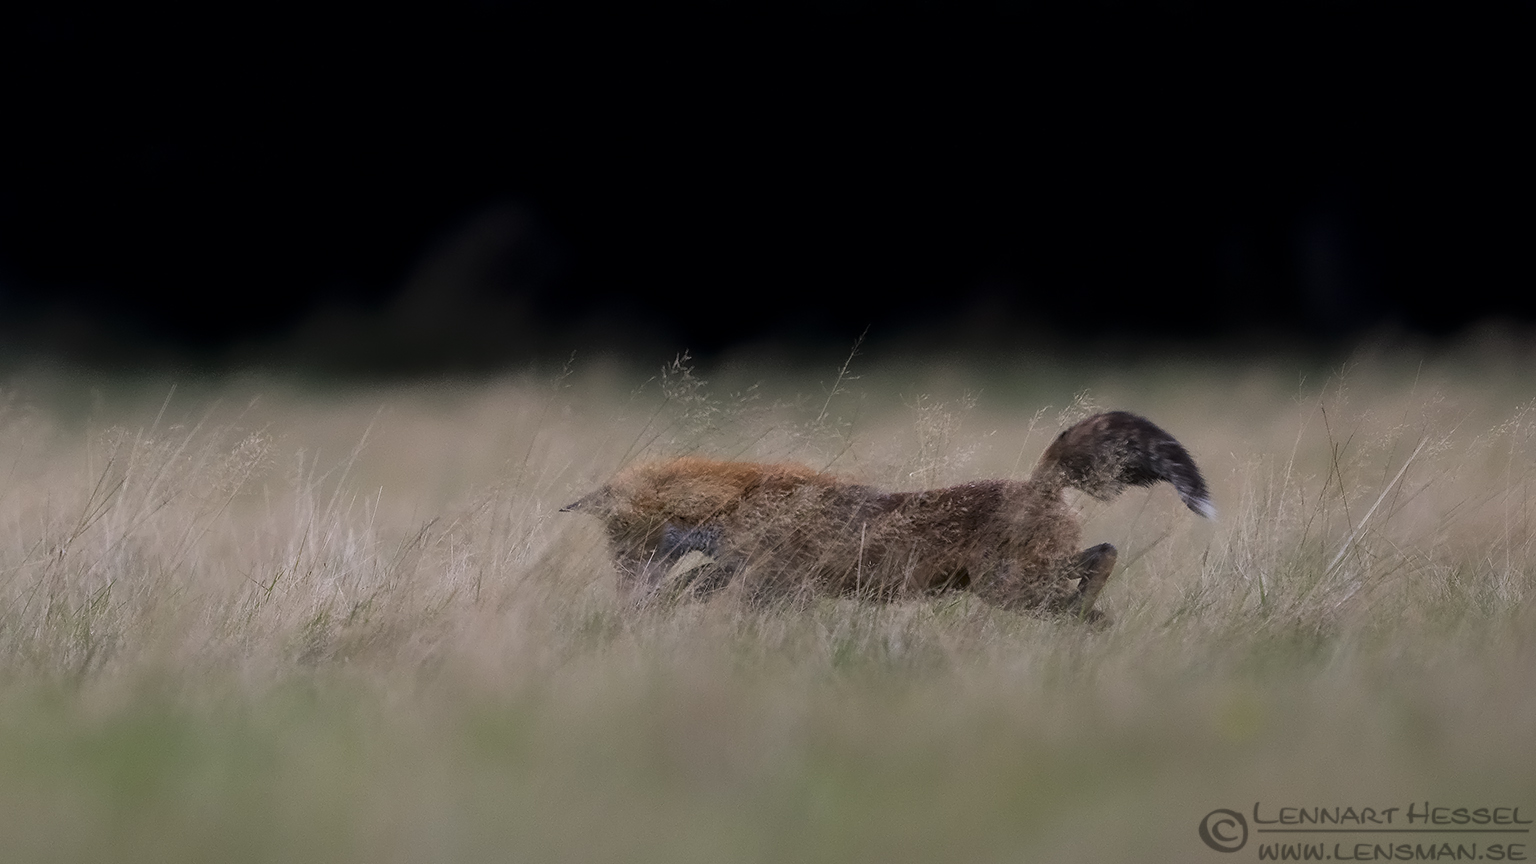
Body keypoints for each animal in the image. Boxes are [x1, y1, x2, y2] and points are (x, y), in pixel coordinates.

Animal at [562, 411, 1212, 623]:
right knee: (1098, 563)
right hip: (1017, 586)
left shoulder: (770, 578)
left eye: (619, 544)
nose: (625, 594)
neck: (737, 500)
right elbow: (697, 585)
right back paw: (1088, 619)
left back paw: (1086, 613)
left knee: (1103, 559)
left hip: (1008, 588)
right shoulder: (746, 571)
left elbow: (702, 588)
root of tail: (1038, 482)